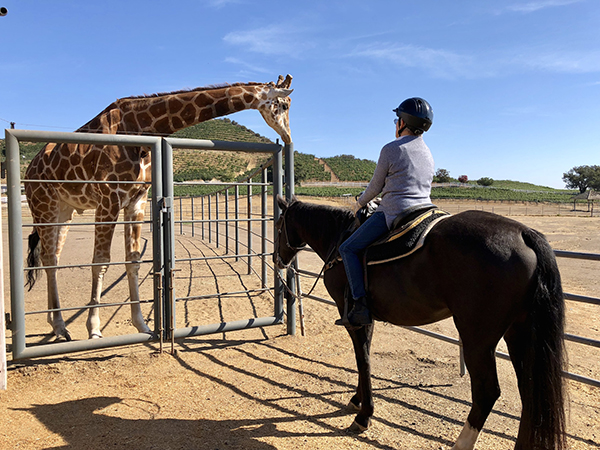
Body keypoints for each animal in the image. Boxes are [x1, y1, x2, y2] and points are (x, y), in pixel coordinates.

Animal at [24, 74, 294, 342]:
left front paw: (142, 325)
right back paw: (60, 326)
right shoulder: (109, 198)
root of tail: (28, 171)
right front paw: (94, 330)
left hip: (64, 210)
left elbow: (133, 260)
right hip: (43, 206)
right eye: (284, 105)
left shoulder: (136, 199)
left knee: (53, 258)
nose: (289, 138)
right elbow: (100, 262)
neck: (138, 125)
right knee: (48, 258)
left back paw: (55, 324)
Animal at [276, 199, 568, 450]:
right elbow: (365, 357)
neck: (340, 239)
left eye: (279, 224)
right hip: (520, 333)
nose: (278, 260)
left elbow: (363, 359)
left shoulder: (353, 317)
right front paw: (357, 400)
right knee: (529, 392)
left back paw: (461, 444)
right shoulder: (366, 319)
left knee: (487, 392)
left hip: (477, 339)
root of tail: (523, 233)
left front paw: (363, 415)